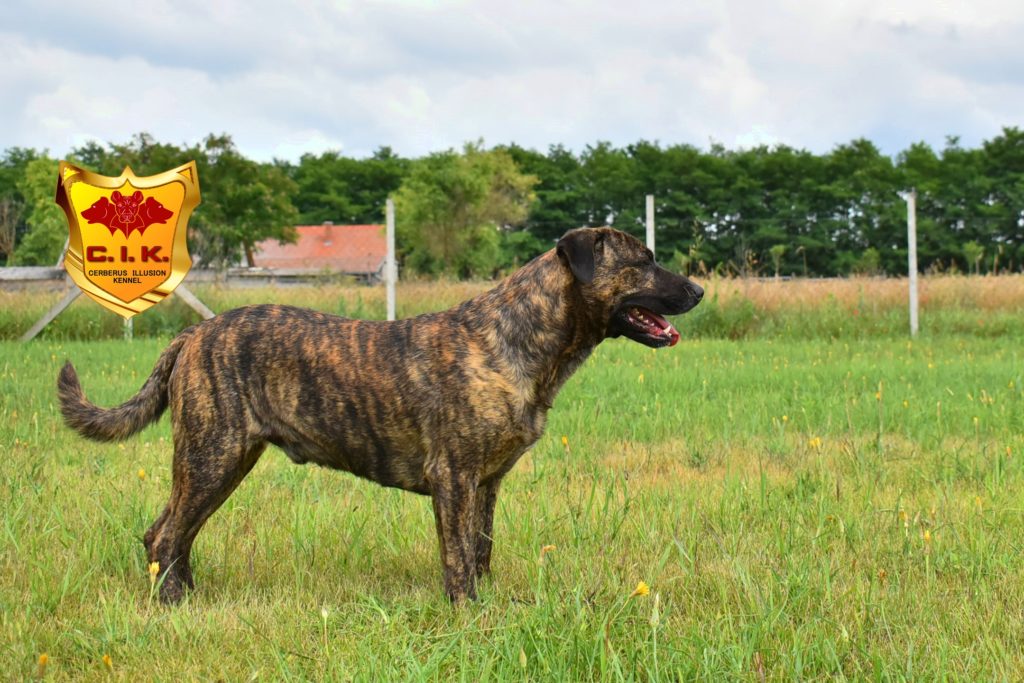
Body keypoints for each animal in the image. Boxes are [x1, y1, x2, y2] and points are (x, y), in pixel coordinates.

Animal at [58, 225, 704, 602]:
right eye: (644, 261)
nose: (699, 291)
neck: (518, 338)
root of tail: (191, 334)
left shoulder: (486, 483)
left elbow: (483, 549)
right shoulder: (454, 477)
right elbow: (458, 558)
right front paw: (468, 617)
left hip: (223, 461)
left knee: (171, 534)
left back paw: (187, 597)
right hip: (211, 455)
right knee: (167, 535)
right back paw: (173, 607)